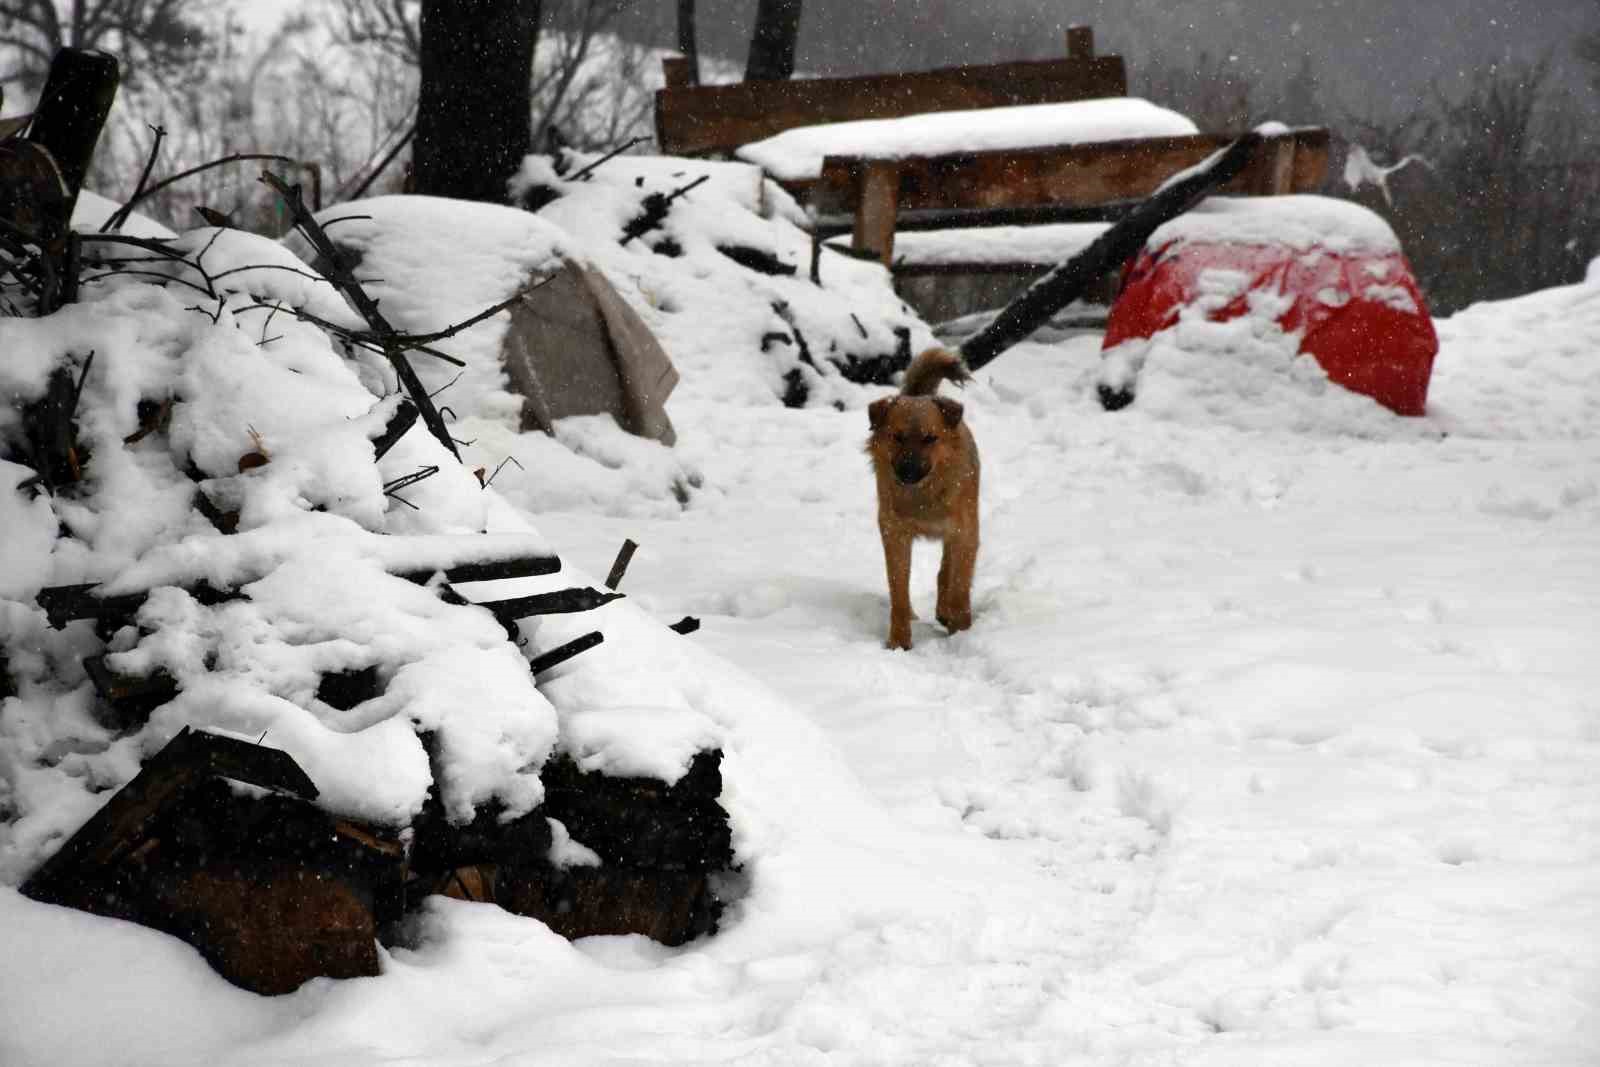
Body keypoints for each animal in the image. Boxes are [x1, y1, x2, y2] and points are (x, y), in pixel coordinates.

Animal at [870, 350, 979, 652]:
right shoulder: (895, 533)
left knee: (946, 573)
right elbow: (898, 590)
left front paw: (961, 629)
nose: (907, 471)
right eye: (896, 437)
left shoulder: (964, 532)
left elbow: (959, 585)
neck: (923, 496)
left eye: (930, 438)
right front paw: (899, 642)